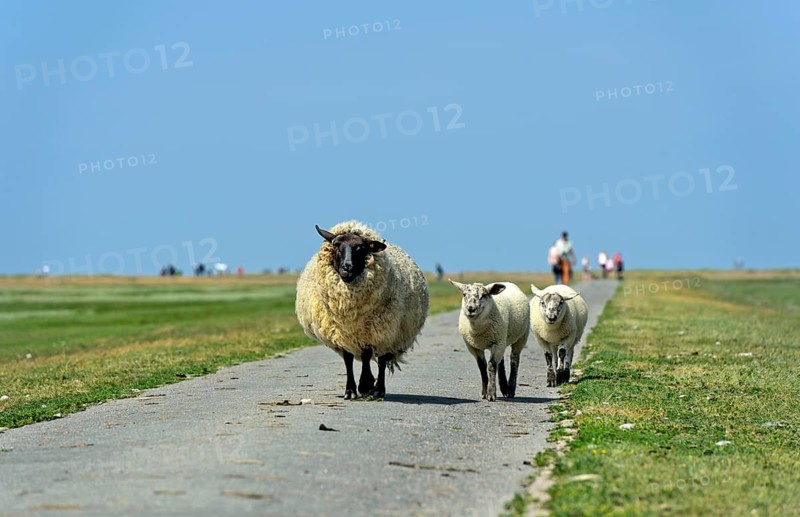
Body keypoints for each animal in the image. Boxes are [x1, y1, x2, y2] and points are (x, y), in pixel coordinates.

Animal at [295, 220, 429, 399]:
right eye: (336, 245)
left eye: (360, 248)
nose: (347, 268)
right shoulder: (342, 332)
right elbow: (348, 359)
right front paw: (350, 390)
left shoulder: (369, 331)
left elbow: (366, 355)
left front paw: (365, 384)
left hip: (388, 332)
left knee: (382, 360)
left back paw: (378, 390)